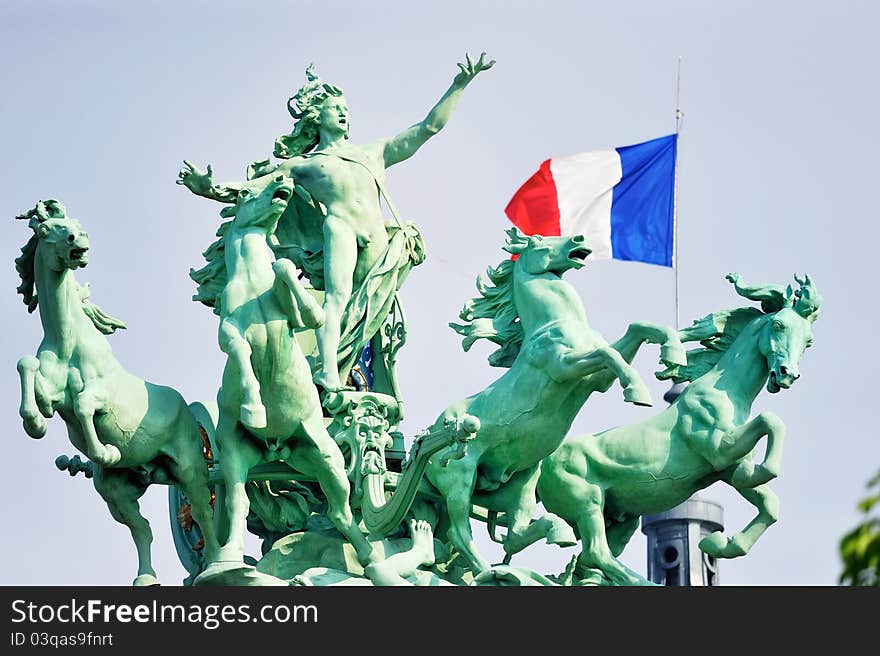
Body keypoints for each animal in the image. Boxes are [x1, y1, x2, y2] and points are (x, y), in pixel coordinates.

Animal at [15, 199, 218, 584]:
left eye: (75, 225)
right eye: (47, 230)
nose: (79, 241)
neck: (69, 341)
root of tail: (185, 407)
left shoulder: (103, 393)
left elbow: (83, 402)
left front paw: (105, 451)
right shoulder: (50, 384)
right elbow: (26, 366)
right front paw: (36, 421)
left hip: (190, 467)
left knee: (203, 511)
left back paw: (217, 563)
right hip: (118, 492)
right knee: (143, 529)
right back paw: (146, 577)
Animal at [422, 227, 684, 576]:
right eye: (536, 241)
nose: (579, 239)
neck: (554, 323)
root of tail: (428, 436)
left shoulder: (596, 380)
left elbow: (635, 330)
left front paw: (673, 352)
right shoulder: (564, 366)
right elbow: (608, 353)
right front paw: (637, 392)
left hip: (522, 481)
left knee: (513, 536)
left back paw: (554, 533)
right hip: (460, 476)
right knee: (459, 531)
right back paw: (488, 570)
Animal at [540, 272, 820, 584]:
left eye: (808, 341)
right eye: (778, 324)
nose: (787, 374)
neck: (726, 391)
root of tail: (543, 466)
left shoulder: (729, 468)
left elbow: (769, 504)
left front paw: (719, 544)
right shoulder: (720, 449)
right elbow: (770, 421)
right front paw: (763, 471)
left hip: (621, 518)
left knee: (591, 559)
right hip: (587, 502)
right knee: (595, 552)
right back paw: (641, 581)